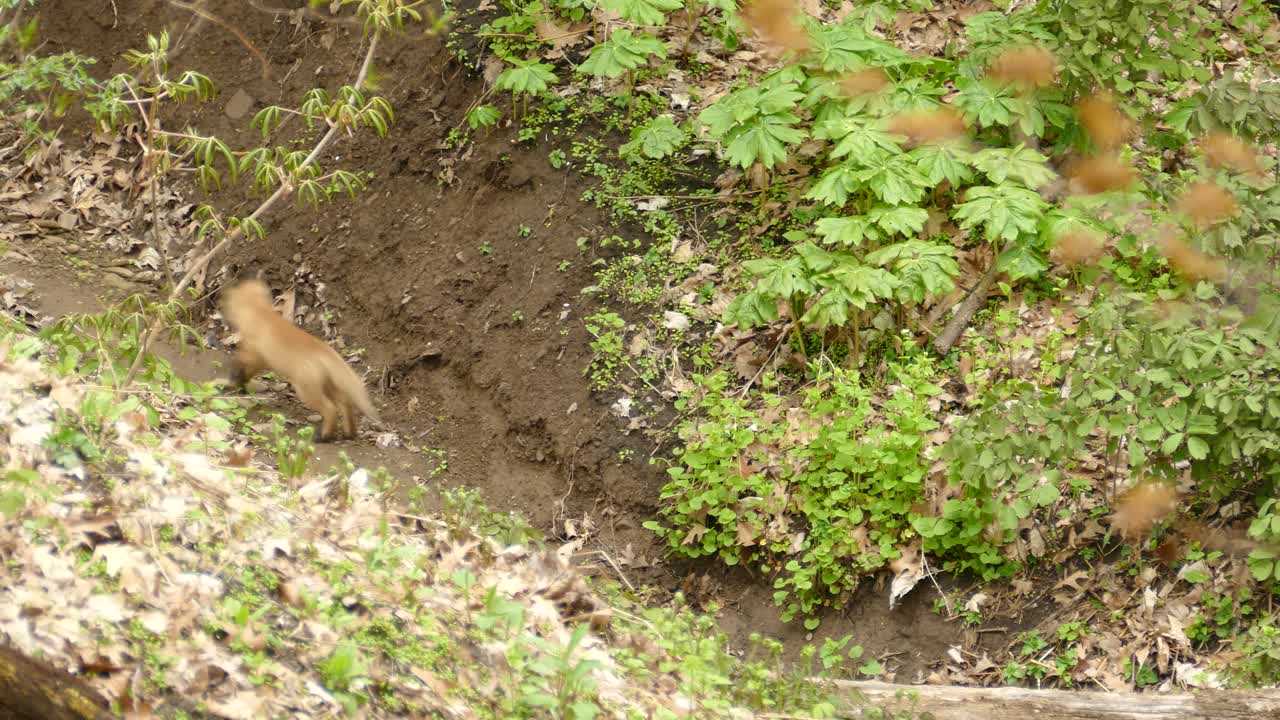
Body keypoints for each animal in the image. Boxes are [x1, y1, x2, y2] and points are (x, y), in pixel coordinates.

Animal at [220, 278, 382, 442]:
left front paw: (234, 382)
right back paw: (349, 433)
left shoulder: (254, 355)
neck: (259, 313)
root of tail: (325, 352)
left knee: (330, 408)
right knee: (345, 404)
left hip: (306, 389)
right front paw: (239, 385)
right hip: (328, 386)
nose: (221, 311)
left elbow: (240, 367)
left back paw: (324, 436)